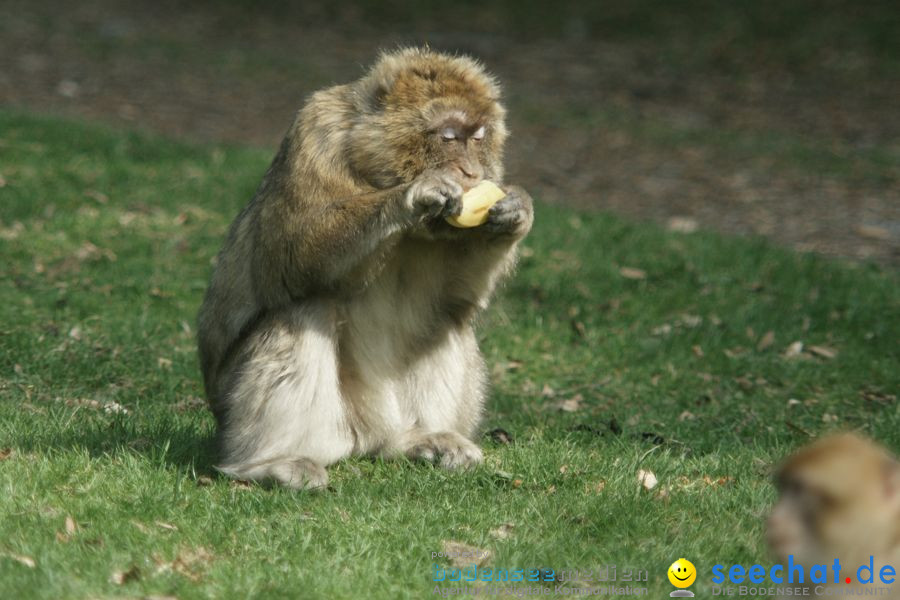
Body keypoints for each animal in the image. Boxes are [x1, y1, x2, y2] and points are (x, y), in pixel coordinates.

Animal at [194, 49, 532, 490]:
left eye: (478, 137)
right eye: (448, 137)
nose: (473, 174)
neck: (373, 170)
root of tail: (370, 438)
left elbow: (458, 295)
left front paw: (516, 213)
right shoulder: (316, 133)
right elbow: (294, 253)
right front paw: (411, 197)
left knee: (446, 318)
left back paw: (421, 438)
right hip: (322, 429)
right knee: (305, 308)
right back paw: (268, 462)